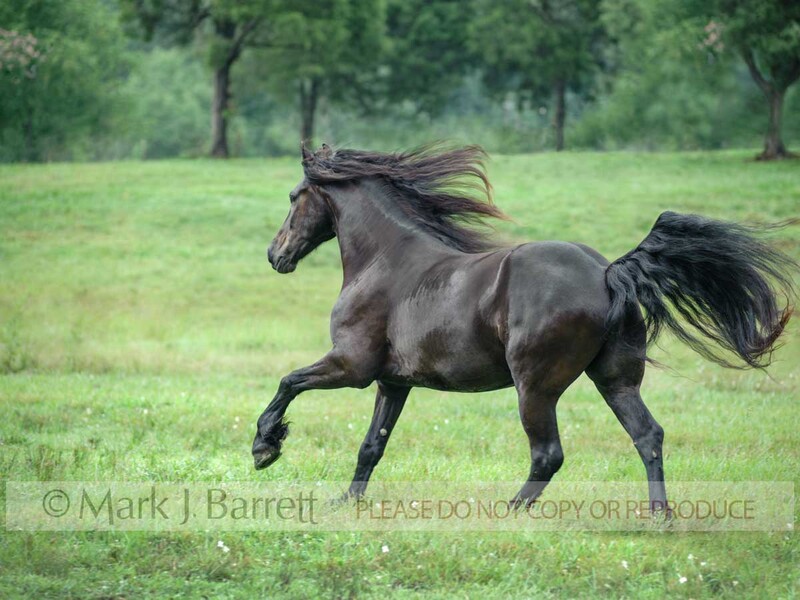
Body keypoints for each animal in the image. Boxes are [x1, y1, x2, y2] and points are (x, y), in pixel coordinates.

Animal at [252, 143, 796, 511]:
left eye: (294, 196)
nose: (275, 256)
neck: (385, 262)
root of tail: (607, 273)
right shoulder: (392, 382)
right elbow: (372, 445)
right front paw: (346, 500)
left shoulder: (352, 367)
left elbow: (288, 382)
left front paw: (265, 447)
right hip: (615, 379)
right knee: (648, 435)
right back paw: (659, 515)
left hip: (535, 386)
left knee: (548, 454)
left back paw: (511, 509)